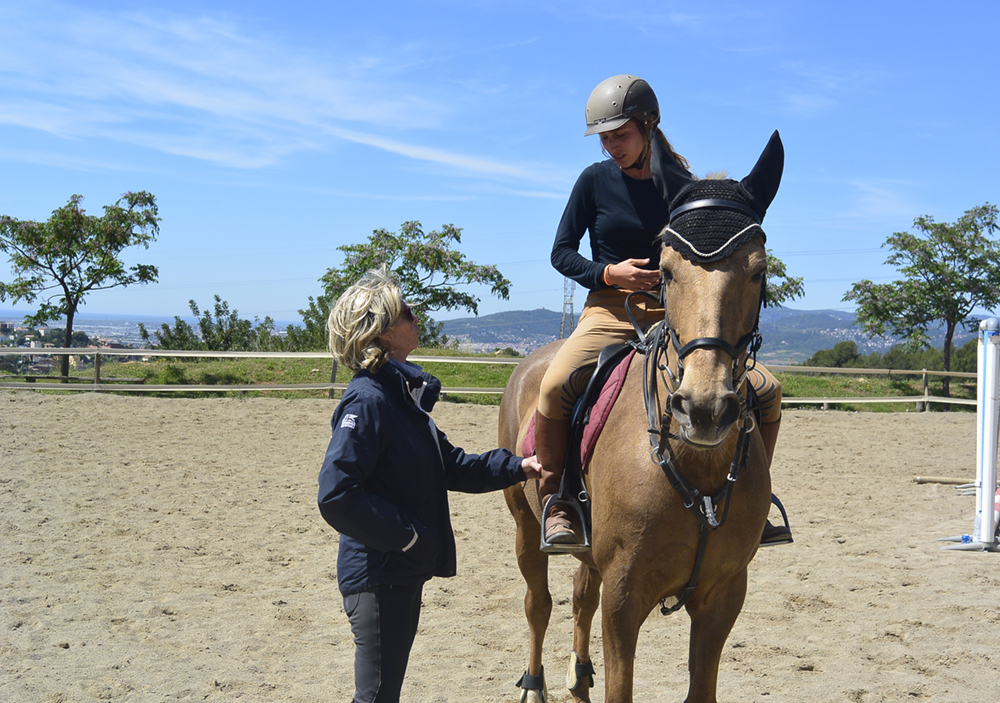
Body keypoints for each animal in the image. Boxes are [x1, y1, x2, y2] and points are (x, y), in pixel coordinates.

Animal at [498, 131, 784, 703]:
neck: (696, 468)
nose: (704, 408)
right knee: (539, 604)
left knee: (580, 596)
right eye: (666, 270)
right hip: (524, 522)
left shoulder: (723, 597)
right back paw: (535, 684)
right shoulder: (625, 598)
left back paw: (577, 677)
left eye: (759, 269)